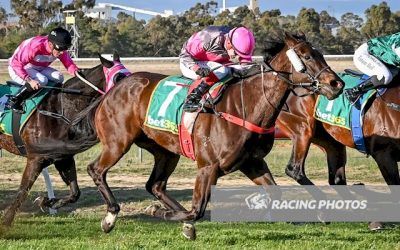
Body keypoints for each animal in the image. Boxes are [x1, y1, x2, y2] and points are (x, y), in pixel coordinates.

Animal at [0, 52, 128, 227]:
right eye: (118, 77)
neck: (59, 109)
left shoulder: (63, 157)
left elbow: (75, 193)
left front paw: (47, 202)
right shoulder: (35, 158)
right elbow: (23, 190)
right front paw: (6, 221)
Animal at [87, 32, 344, 237]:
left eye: (320, 54)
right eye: (307, 56)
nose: (337, 84)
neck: (246, 106)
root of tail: (113, 89)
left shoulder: (252, 162)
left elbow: (275, 193)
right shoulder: (208, 167)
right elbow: (197, 210)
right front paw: (157, 211)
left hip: (165, 150)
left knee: (155, 185)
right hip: (118, 142)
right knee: (96, 169)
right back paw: (111, 216)